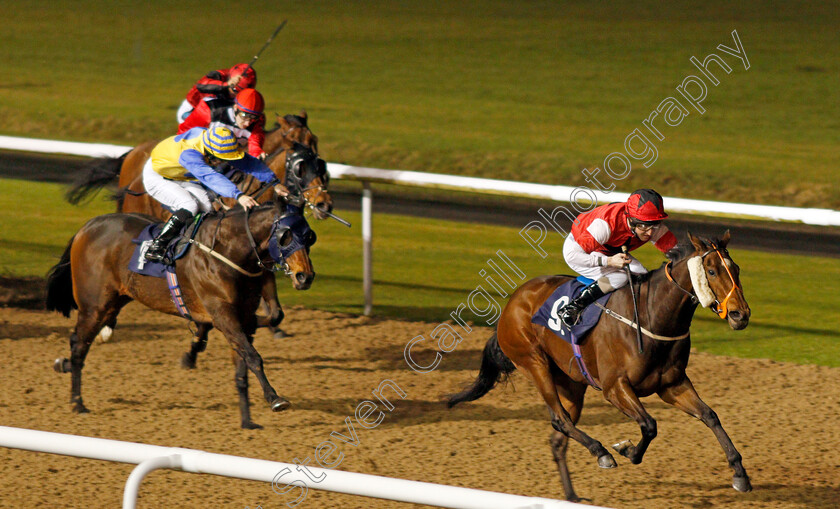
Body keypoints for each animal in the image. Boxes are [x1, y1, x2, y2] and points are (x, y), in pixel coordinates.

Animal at [46, 200, 316, 426]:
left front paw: (247, 421)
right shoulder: (223, 312)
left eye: (310, 236)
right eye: (286, 236)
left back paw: (66, 368)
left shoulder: (242, 315)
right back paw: (77, 401)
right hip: (95, 306)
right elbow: (253, 357)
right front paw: (275, 398)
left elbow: (243, 364)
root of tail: (86, 227)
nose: (306, 276)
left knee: (81, 341)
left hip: (116, 300)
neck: (228, 251)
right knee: (79, 346)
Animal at [450, 232, 752, 502]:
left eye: (736, 269)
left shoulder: (672, 385)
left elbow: (710, 416)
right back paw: (601, 452)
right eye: (711, 271)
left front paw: (740, 474)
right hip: (534, 363)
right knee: (559, 419)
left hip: (572, 384)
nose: (741, 315)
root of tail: (512, 301)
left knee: (558, 437)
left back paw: (572, 496)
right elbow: (649, 425)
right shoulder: (615, 387)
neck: (651, 316)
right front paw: (626, 450)